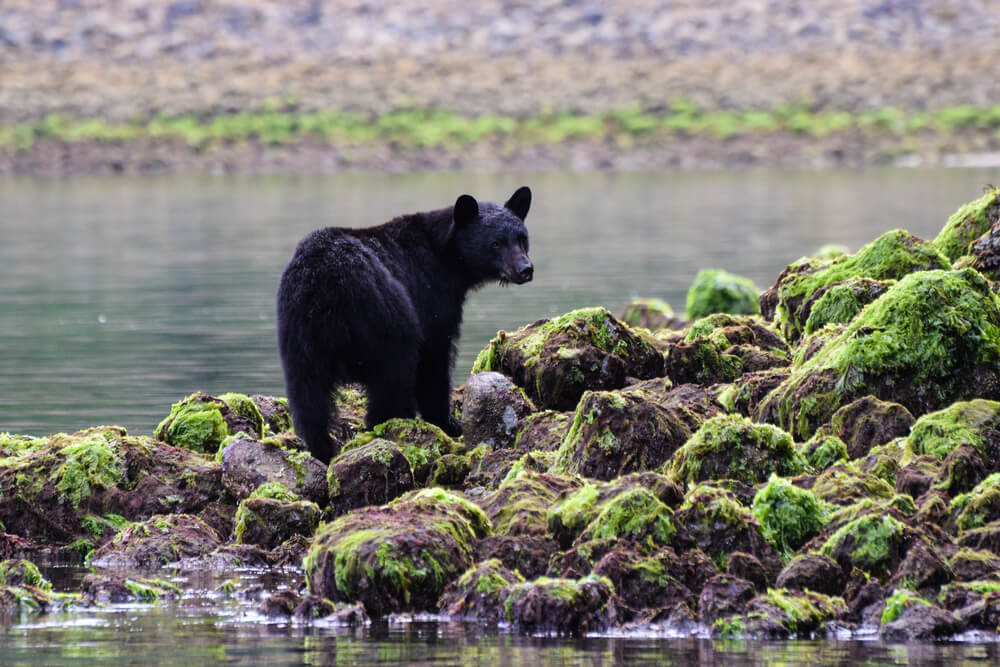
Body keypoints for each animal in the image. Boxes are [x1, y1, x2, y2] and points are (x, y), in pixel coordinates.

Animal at [276, 186, 533, 463]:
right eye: (496, 243)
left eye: (522, 238)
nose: (525, 269)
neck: (447, 256)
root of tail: (327, 284)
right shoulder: (433, 296)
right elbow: (435, 358)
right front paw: (448, 422)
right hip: (383, 313)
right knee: (395, 371)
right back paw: (392, 422)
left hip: (298, 332)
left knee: (307, 395)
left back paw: (322, 449)